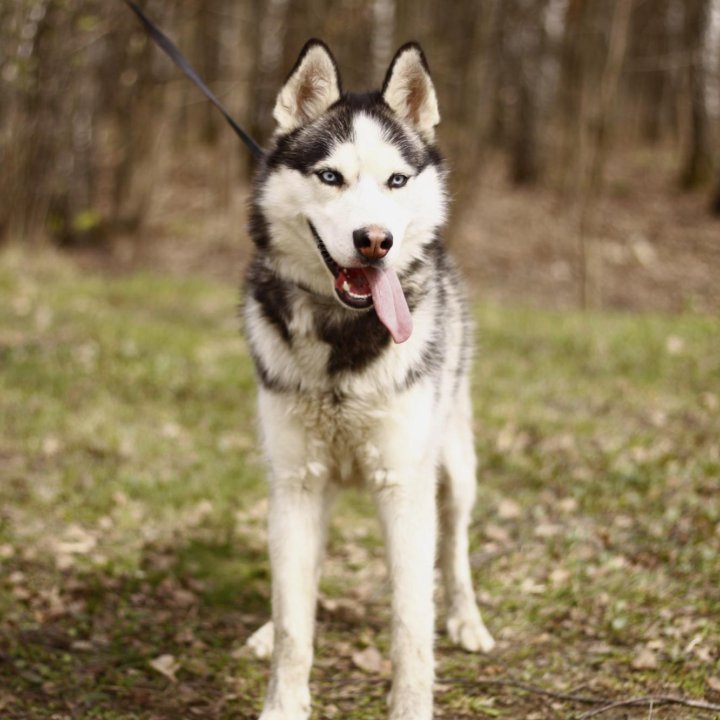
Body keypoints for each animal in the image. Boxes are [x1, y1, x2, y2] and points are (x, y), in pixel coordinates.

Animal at [242, 40, 496, 720]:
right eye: (330, 177)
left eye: (396, 181)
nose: (374, 241)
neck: (343, 340)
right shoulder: (296, 483)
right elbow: (295, 623)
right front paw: (283, 700)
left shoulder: (405, 487)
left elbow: (412, 625)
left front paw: (412, 703)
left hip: (454, 470)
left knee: (454, 551)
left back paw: (468, 620)